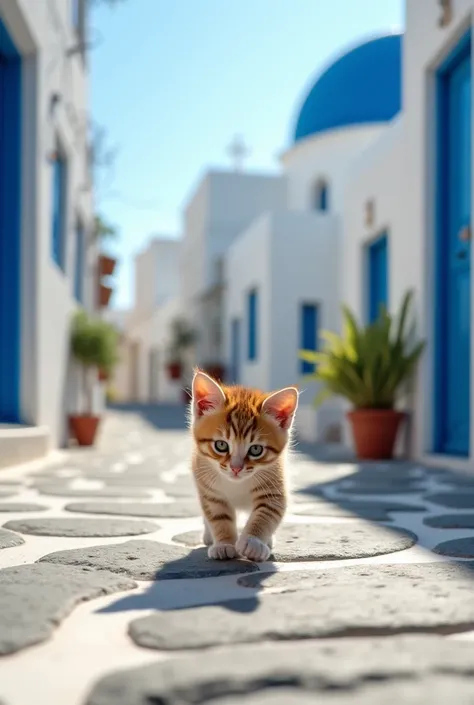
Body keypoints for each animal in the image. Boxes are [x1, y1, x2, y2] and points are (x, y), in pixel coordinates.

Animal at [190, 368, 298, 560]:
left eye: (255, 449)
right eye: (221, 445)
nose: (236, 468)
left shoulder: (275, 486)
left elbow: (266, 514)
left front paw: (253, 542)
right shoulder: (209, 491)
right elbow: (218, 517)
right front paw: (224, 544)